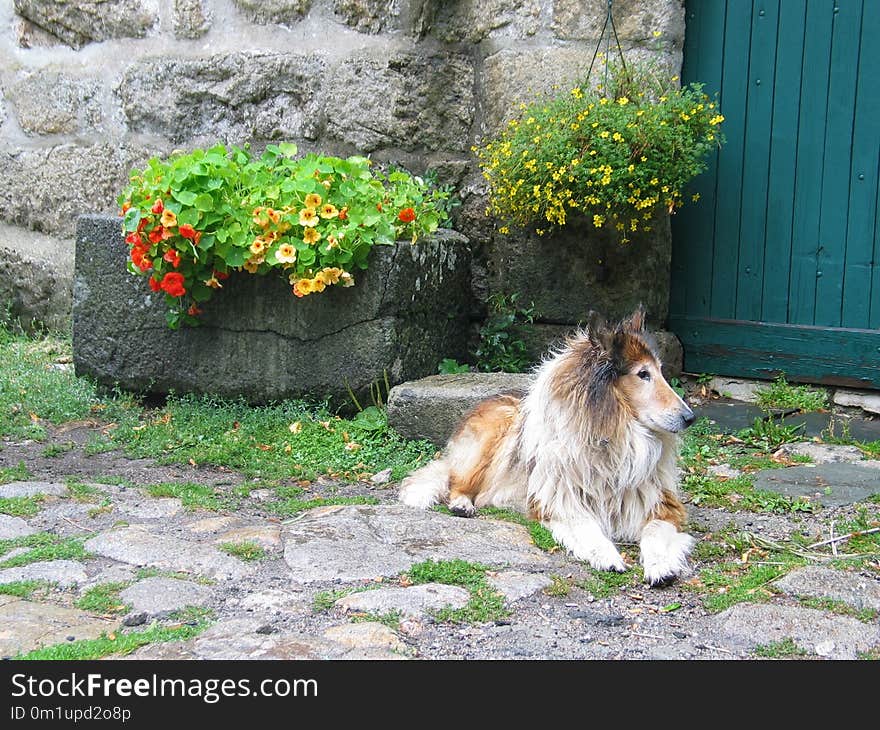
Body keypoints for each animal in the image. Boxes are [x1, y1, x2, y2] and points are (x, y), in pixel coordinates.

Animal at [398, 308, 696, 584]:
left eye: (660, 371)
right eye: (643, 374)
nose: (690, 417)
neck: (613, 436)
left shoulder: (663, 505)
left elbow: (656, 533)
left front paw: (660, 566)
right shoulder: (559, 501)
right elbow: (587, 528)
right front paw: (607, 556)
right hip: (494, 434)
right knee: (456, 483)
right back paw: (462, 504)